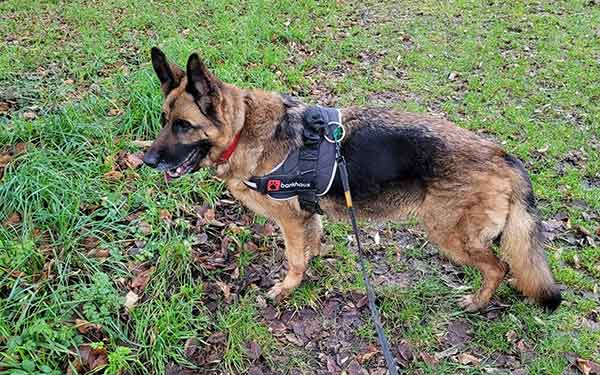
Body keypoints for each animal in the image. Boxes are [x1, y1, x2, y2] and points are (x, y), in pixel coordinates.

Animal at [144, 48, 564, 312]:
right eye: (164, 120)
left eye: (183, 126)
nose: (144, 160)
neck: (243, 129)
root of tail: (502, 155)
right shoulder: (308, 215)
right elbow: (310, 246)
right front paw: (310, 264)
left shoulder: (291, 220)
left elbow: (294, 258)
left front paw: (286, 288)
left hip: (449, 235)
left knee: (500, 268)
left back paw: (477, 302)